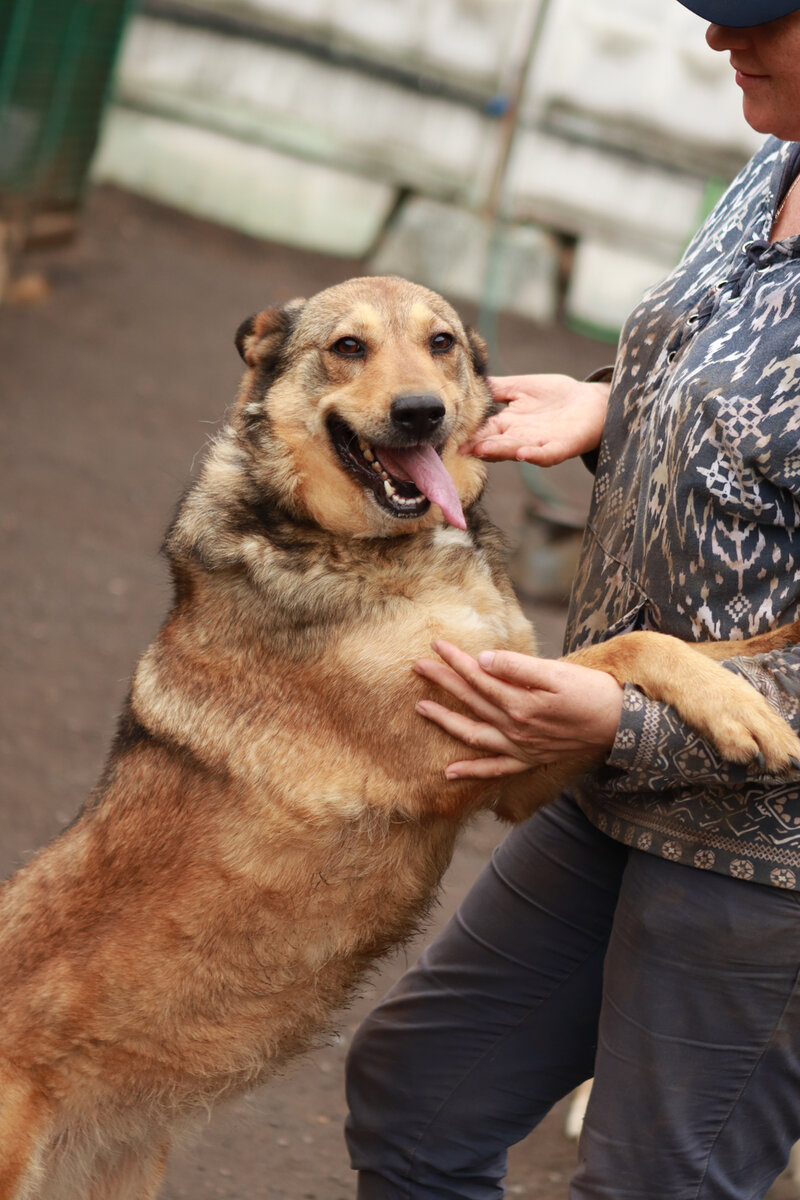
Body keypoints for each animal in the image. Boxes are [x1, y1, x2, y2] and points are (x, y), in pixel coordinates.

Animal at [1, 274, 800, 1200]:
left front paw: (765, 661)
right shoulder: (481, 749)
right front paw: (739, 710)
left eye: (441, 343)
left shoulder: (518, 729)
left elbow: (683, 644)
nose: (420, 412)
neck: (372, 549)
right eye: (349, 347)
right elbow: (633, 646)